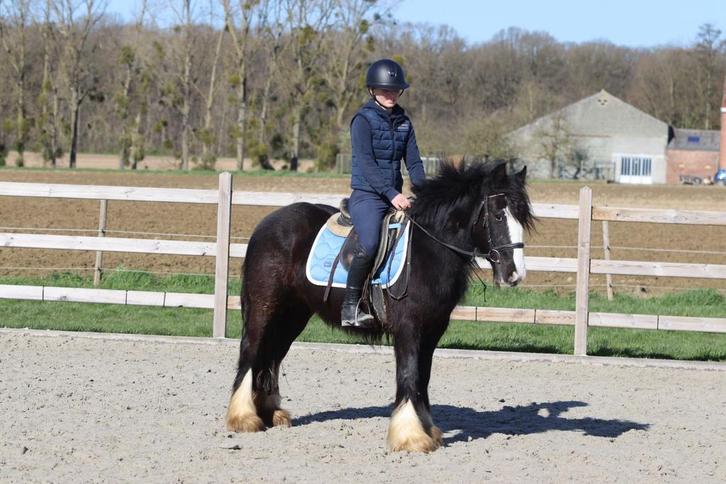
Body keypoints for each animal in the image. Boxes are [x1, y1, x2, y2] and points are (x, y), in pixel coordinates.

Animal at [225, 161, 535, 452]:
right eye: (498, 215)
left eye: (522, 217)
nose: (514, 275)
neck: (427, 250)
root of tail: (267, 223)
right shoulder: (408, 328)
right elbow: (409, 374)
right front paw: (410, 436)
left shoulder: (432, 330)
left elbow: (422, 378)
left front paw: (427, 430)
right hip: (265, 307)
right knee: (251, 351)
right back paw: (244, 417)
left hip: (293, 314)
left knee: (272, 356)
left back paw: (270, 414)